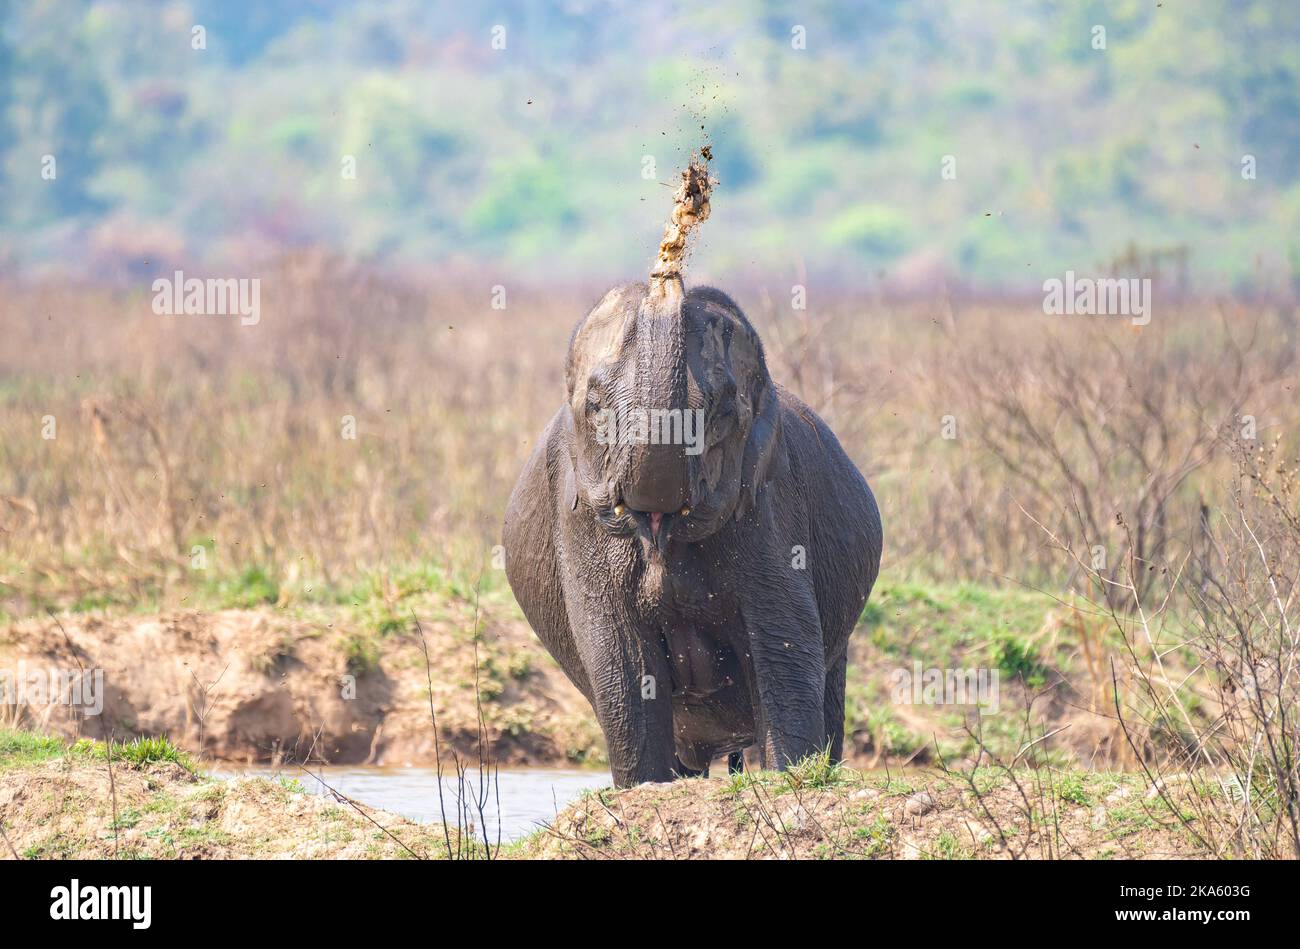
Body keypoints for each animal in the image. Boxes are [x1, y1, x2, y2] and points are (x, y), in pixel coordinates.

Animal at [496, 276, 883, 785]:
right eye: (595, 408)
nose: (667, 276)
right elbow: (623, 661)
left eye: (722, 413)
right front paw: (645, 788)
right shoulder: (578, 515)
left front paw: (790, 779)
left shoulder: (769, 501)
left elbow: (785, 648)